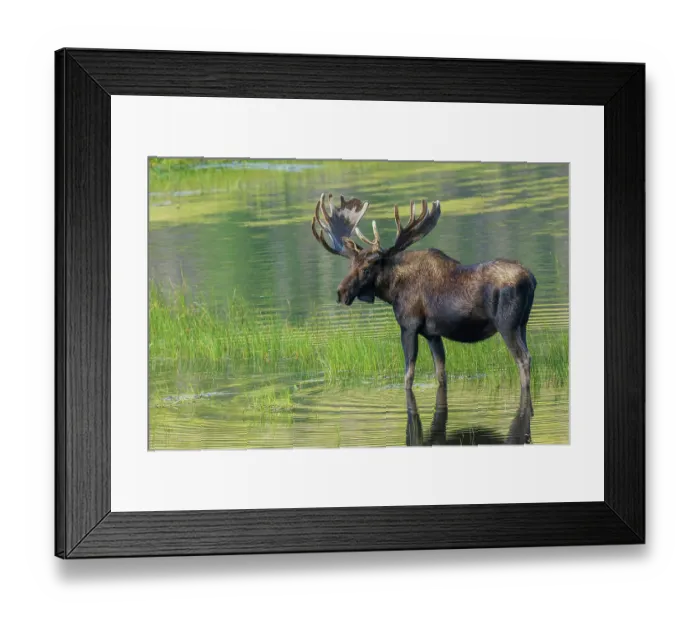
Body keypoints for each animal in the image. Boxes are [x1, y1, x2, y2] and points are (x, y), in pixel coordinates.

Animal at [311, 192, 537, 419]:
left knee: (523, 359)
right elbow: (441, 373)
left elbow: (408, 376)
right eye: (351, 265)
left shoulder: (409, 326)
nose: (341, 293)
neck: (392, 291)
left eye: (366, 268)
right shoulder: (432, 334)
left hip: (506, 325)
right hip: (522, 324)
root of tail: (531, 279)